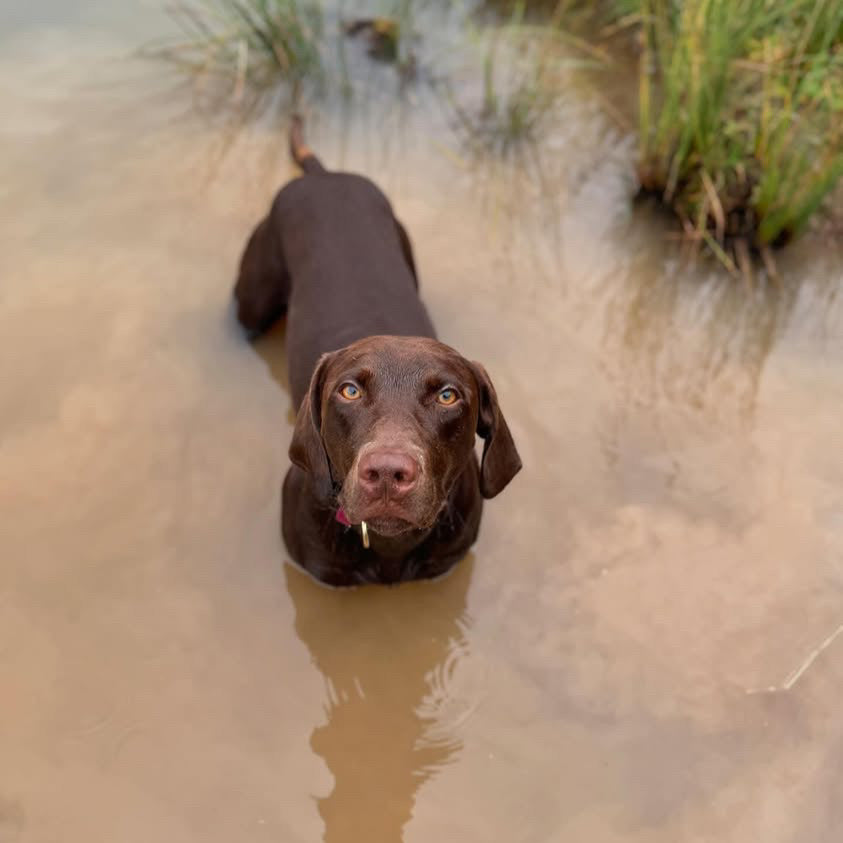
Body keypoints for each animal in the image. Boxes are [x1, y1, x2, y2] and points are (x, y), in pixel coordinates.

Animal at [232, 118, 520, 588]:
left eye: (448, 396)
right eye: (349, 391)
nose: (387, 473)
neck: (389, 546)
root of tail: (325, 175)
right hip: (252, 298)